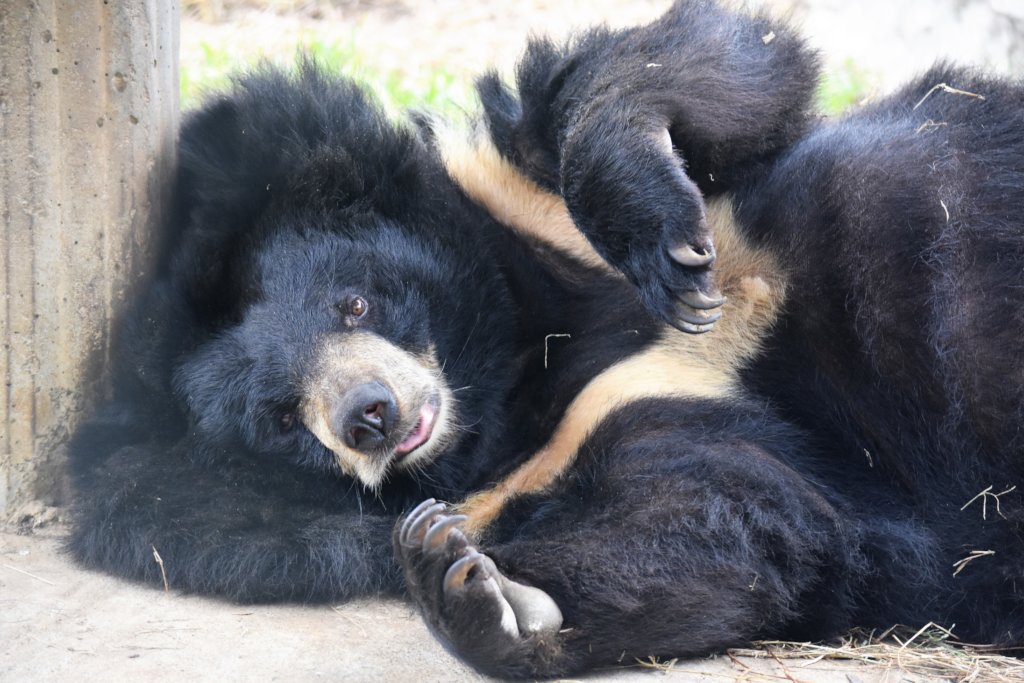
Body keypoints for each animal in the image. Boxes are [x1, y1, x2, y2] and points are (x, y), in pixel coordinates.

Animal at [67, 0, 1024, 678]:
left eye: (354, 303)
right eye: (278, 416)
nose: (371, 414)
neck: (513, 385)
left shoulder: (511, 192)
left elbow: (694, 66)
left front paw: (666, 246)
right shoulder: (577, 451)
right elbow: (736, 523)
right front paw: (477, 592)